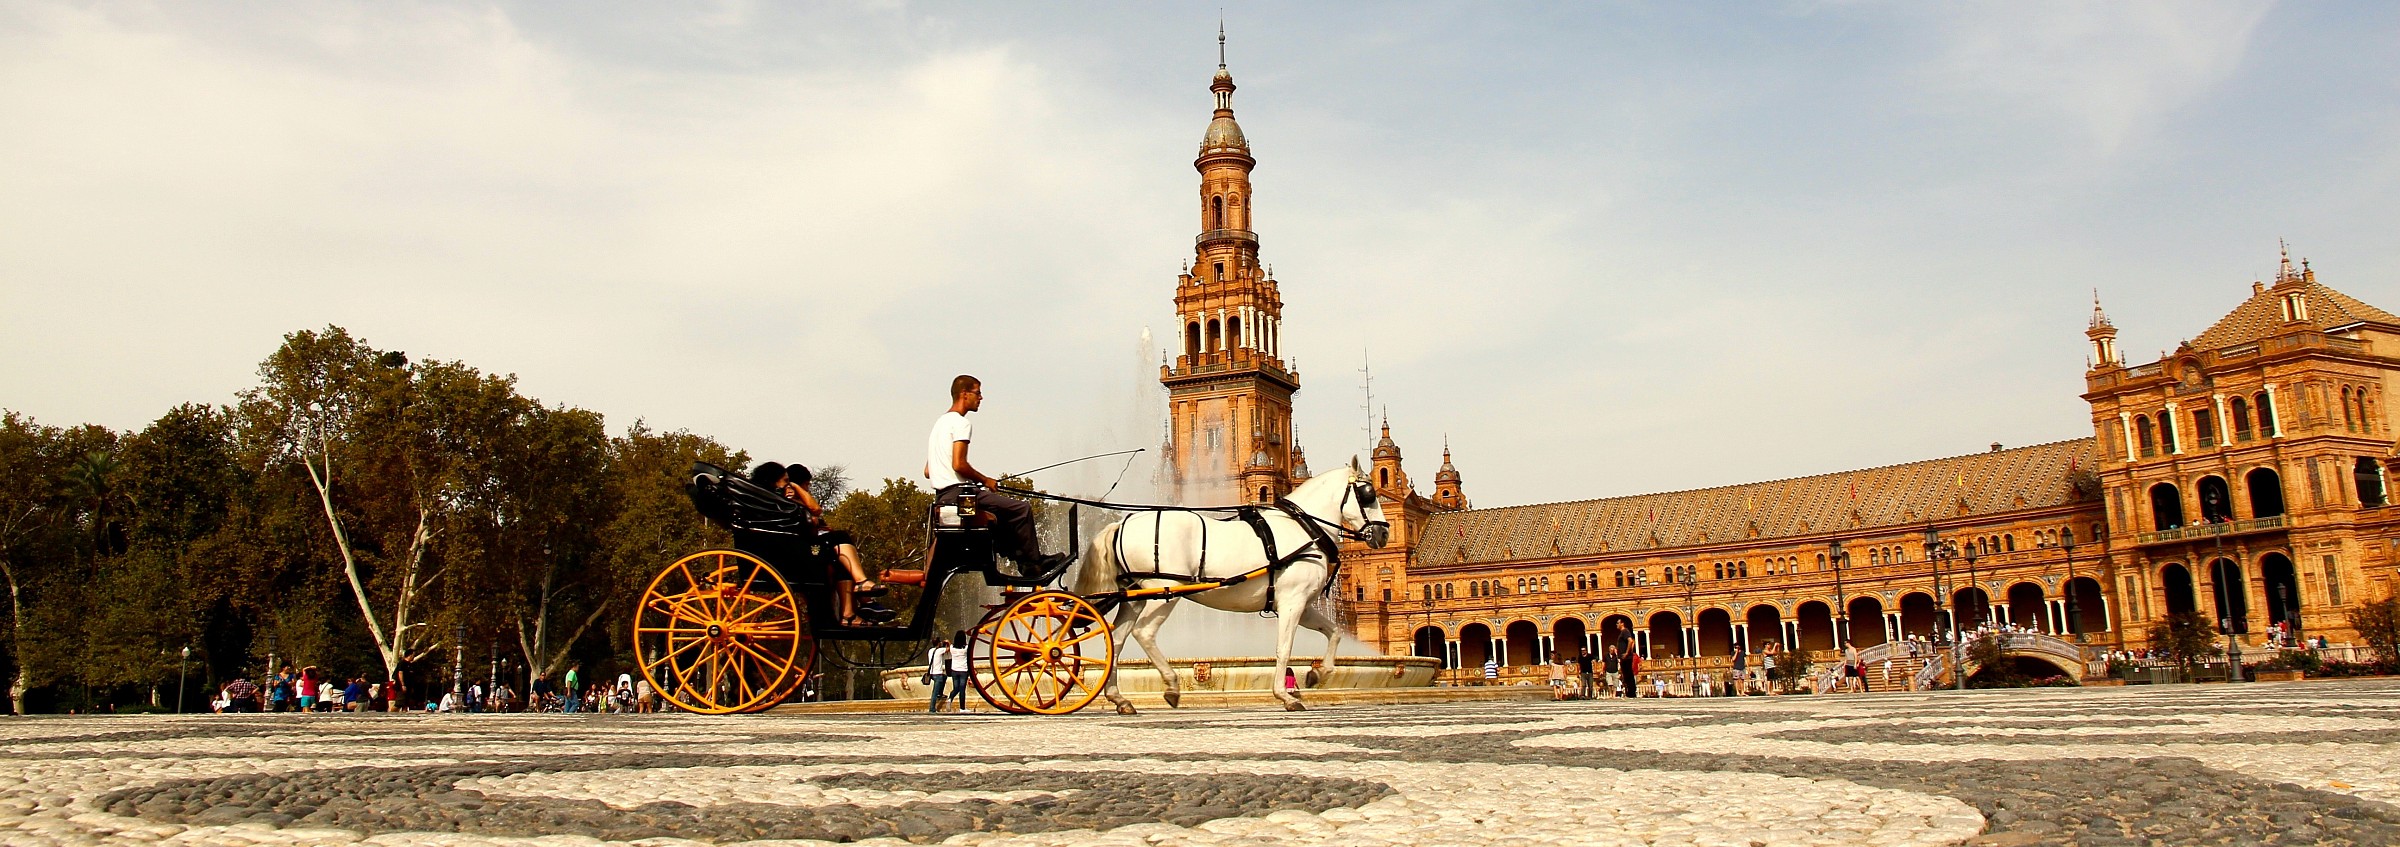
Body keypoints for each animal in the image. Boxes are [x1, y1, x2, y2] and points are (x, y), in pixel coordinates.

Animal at [1075, 465, 1392, 710]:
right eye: (1369, 494)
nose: (1383, 533)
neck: (1303, 528)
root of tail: (1122, 523)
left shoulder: (1301, 605)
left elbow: (1335, 632)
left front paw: (1318, 674)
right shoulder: (1292, 603)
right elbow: (1284, 648)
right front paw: (1285, 696)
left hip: (1134, 597)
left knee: (1116, 640)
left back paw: (1119, 698)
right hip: (1164, 593)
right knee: (1144, 633)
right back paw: (1172, 685)